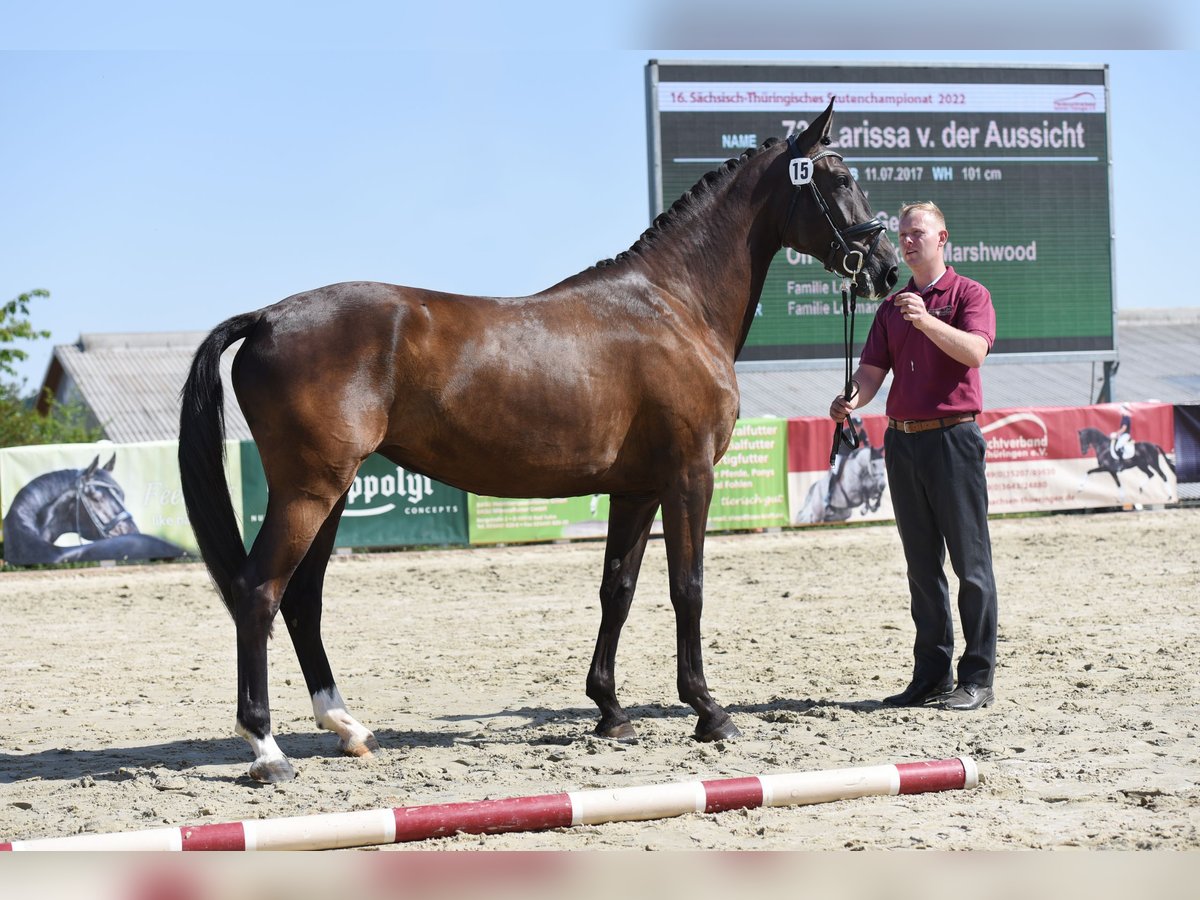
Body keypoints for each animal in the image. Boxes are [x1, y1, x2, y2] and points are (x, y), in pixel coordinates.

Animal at [180, 102, 902, 787]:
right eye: (840, 179)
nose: (887, 268)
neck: (675, 305)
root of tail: (267, 317)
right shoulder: (689, 477)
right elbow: (687, 587)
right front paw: (709, 711)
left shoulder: (636, 489)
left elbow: (619, 589)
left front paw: (610, 712)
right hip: (309, 491)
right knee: (259, 591)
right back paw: (266, 749)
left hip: (329, 493)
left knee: (303, 600)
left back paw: (346, 727)